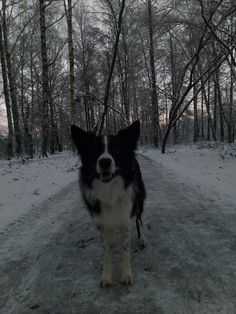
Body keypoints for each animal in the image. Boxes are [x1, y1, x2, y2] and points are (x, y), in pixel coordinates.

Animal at [71, 121, 147, 288]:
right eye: (94, 150)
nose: (104, 161)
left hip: (139, 202)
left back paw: (142, 238)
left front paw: (126, 274)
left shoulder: (125, 217)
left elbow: (125, 249)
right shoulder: (102, 222)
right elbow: (106, 252)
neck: (110, 191)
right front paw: (107, 276)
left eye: (116, 150)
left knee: (139, 220)